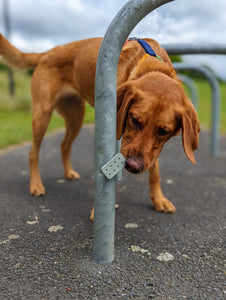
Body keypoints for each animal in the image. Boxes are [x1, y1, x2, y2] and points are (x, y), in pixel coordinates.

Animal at [0, 34, 199, 220]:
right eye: (134, 119)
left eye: (164, 131)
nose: (133, 166)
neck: (151, 65)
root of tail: (48, 52)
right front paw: (100, 212)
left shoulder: (151, 150)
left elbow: (154, 171)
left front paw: (158, 199)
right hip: (43, 114)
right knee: (33, 152)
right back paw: (35, 185)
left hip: (76, 117)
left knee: (64, 145)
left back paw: (68, 173)